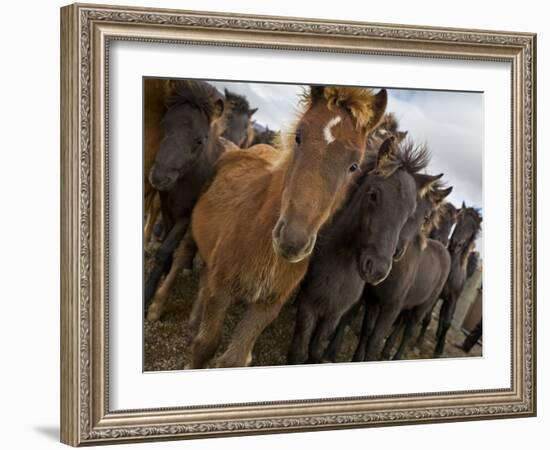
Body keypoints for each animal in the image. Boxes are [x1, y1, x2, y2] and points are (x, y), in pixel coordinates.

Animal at [188, 85, 390, 370]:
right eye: (298, 137)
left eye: (354, 165)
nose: (292, 240)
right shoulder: (222, 287)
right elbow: (205, 345)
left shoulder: (268, 305)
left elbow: (235, 358)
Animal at [288, 139, 440, 364]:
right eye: (373, 195)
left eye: (410, 213)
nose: (377, 269)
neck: (339, 267)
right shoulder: (309, 304)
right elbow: (299, 353)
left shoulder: (337, 312)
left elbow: (316, 350)